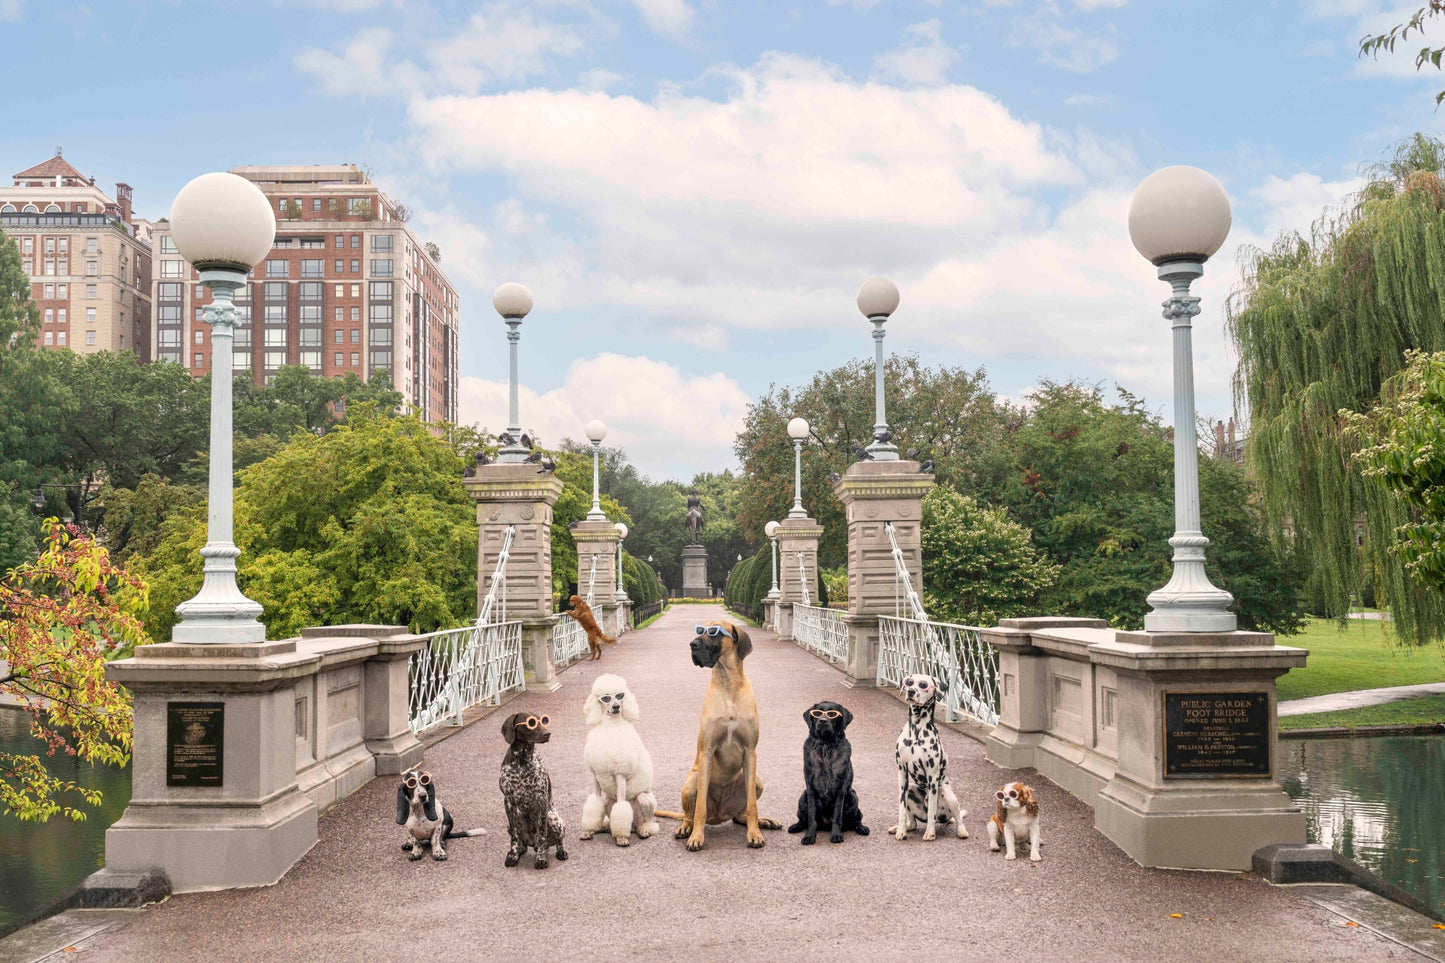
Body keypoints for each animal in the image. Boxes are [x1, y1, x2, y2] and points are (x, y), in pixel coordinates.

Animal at [884, 670, 965, 838]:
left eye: (923, 685)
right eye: (909, 682)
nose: (911, 691)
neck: (916, 730)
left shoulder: (932, 776)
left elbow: (932, 810)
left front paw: (930, 833)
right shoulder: (902, 773)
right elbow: (901, 808)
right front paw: (900, 830)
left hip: (947, 793)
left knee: (957, 818)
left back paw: (962, 831)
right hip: (910, 790)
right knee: (913, 824)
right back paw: (903, 827)